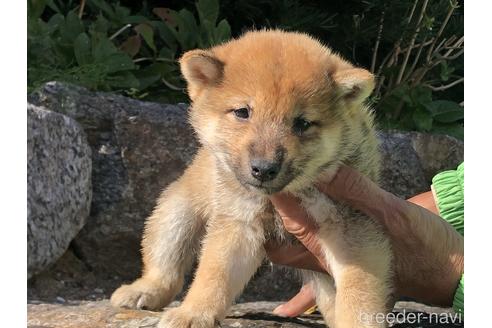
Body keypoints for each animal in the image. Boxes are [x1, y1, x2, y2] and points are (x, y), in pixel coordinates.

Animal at [110, 29, 392, 326]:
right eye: (242, 112)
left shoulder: (352, 228)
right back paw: (143, 289)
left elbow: (358, 291)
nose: (264, 168)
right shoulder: (238, 221)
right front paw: (193, 312)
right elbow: (214, 275)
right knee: (166, 267)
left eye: (302, 123)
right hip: (175, 214)